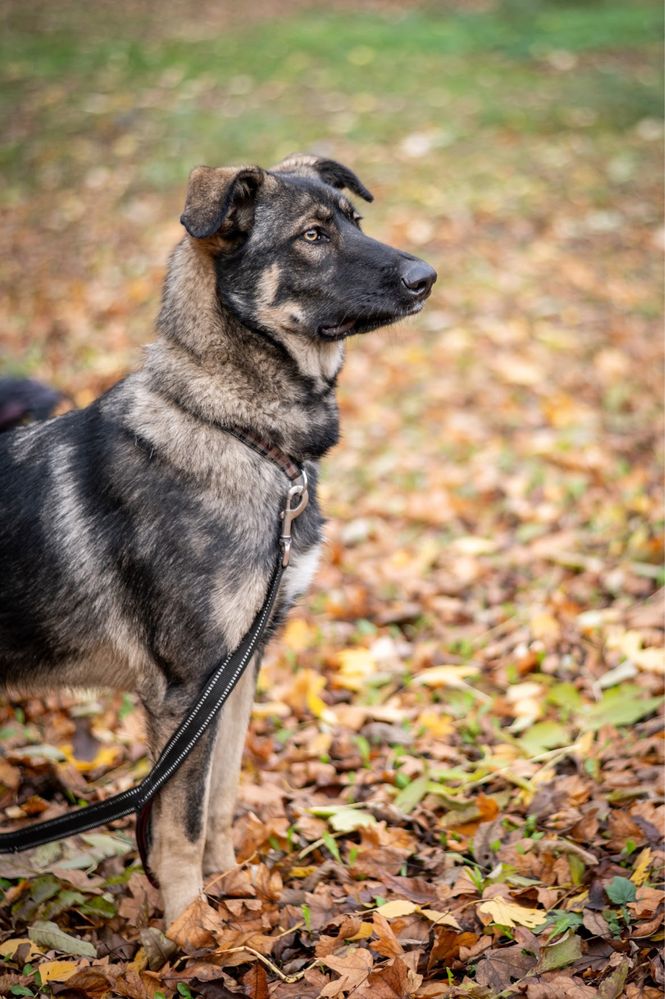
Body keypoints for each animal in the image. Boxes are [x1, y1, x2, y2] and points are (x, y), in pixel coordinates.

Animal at [0, 156, 436, 928]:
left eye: (355, 221)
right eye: (313, 236)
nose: (427, 275)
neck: (240, 432)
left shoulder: (236, 673)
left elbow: (222, 795)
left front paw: (230, 886)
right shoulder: (186, 690)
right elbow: (180, 823)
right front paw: (190, 926)